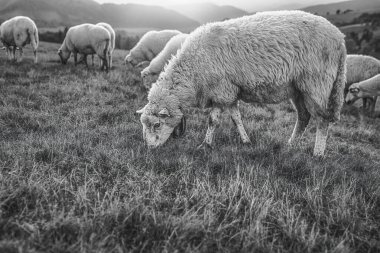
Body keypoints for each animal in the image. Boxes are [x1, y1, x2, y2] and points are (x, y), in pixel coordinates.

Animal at [137, 10, 348, 157]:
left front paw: (205, 145)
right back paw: (291, 144)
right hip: (298, 88)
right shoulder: (230, 92)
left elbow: (213, 120)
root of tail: (340, 39)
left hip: (317, 83)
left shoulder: (221, 90)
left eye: (156, 124)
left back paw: (317, 154)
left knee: (322, 120)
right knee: (304, 116)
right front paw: (246, 141)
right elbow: (236, 118)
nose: (148, 148)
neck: (193, 71)